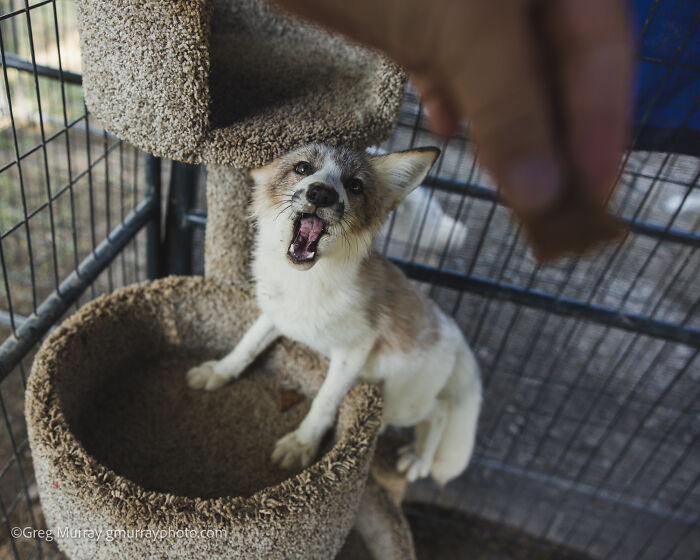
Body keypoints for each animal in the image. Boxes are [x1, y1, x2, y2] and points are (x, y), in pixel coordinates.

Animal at [187, 144, 482, 485]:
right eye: (302, 168)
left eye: (355, 186)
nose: (321, 193)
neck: (303, 285)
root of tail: (450, 326)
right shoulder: (276, 315)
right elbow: (245, 346)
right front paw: (218, 371)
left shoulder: (354, 351)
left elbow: (324, 401)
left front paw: (302, 443)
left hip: (401, 403)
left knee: (439, 412)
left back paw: (418, 459)